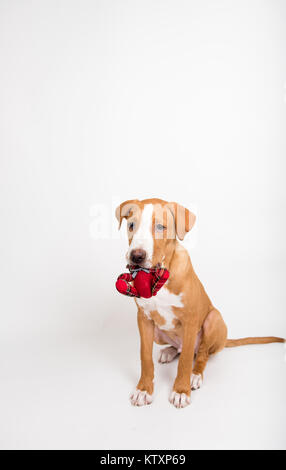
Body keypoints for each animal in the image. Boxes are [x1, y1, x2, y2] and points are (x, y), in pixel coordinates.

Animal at [115, 197, 284, 408]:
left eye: (160, 227)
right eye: (131, 225)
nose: (136, 256)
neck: (158, 276)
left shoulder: (190, 320)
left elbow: (186, 360)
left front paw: (181, 391)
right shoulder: (144, 319)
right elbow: (145, 357)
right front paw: (143, 390)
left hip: (213, 319)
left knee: (202, 354)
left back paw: (195, 375)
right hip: (158, 335)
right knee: (180, 349)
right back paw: (169, 351)